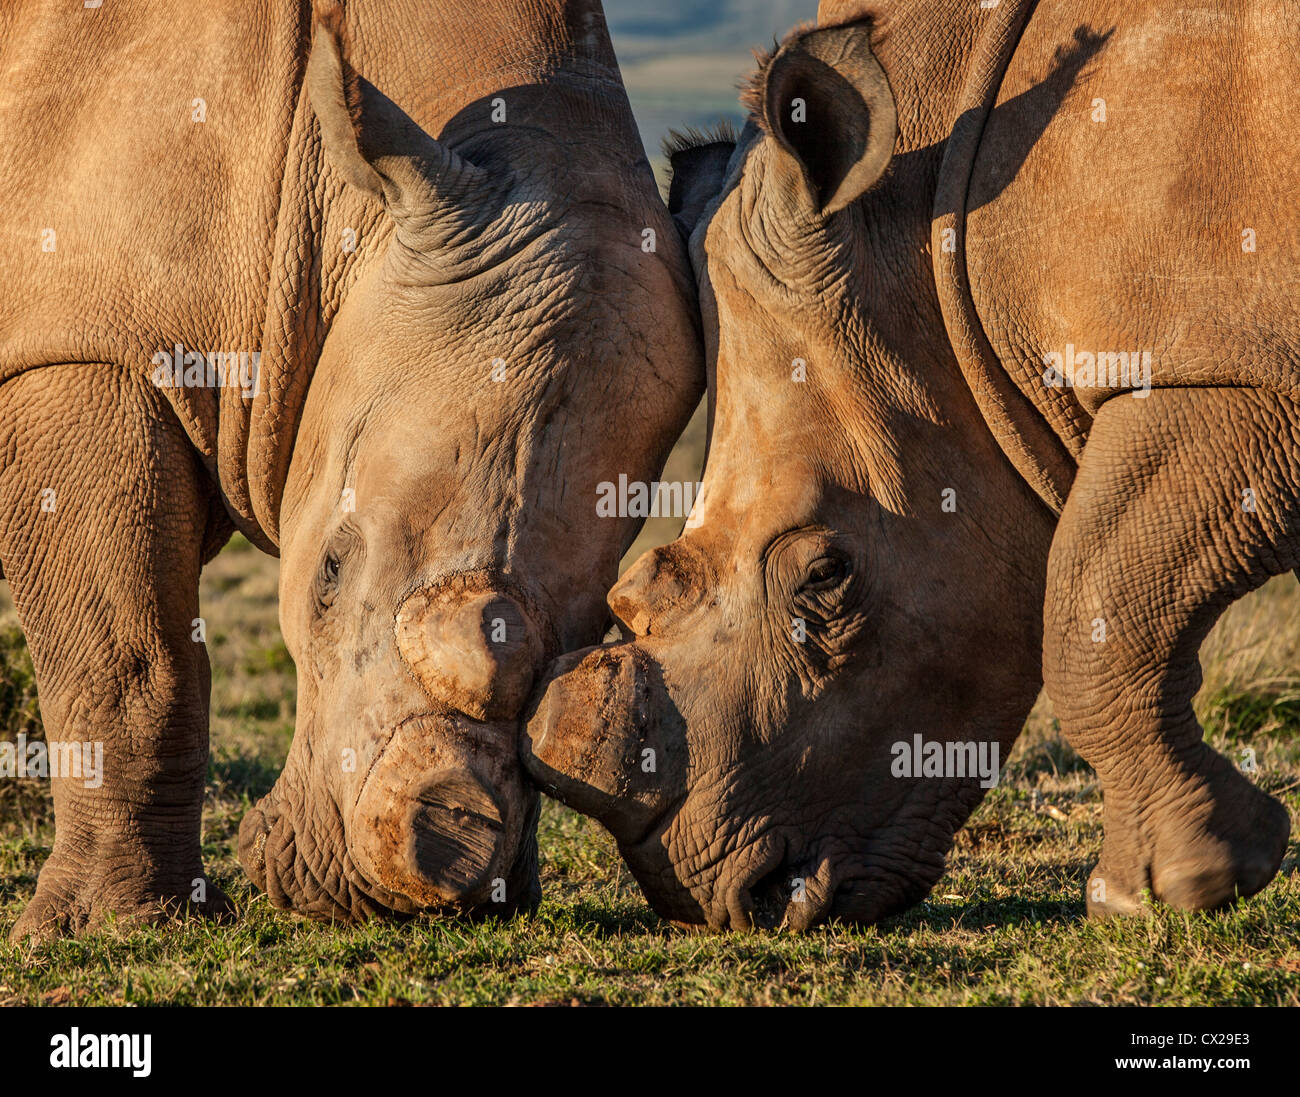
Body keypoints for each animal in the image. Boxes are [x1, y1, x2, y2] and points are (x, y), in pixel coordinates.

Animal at [0, 0, 701, 940]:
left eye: (597, 624)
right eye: (326, 577)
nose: (444, 865)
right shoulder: (82, 346)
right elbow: (131, 658)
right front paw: (117, 926)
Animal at [524, 0, 1297, 930]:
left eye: (827, 576)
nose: (718, 896)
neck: (925, 239)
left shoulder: (1226, 366)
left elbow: (1096, 600)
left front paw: (1166, 888)